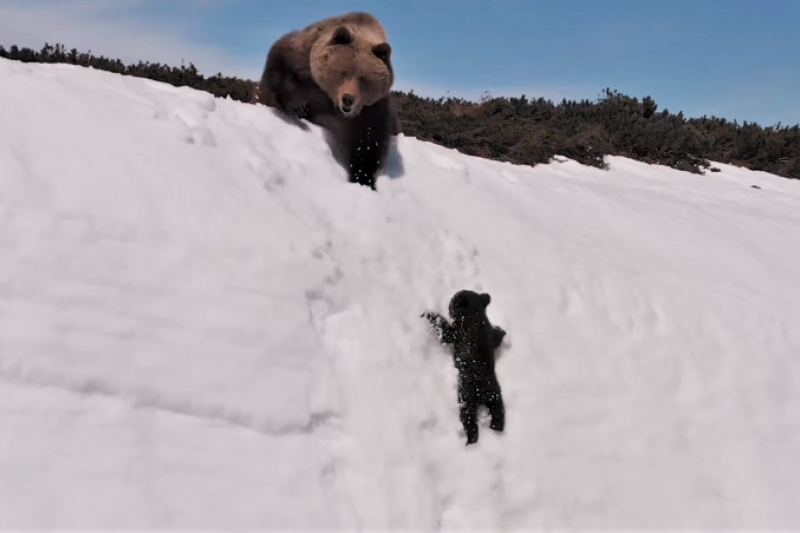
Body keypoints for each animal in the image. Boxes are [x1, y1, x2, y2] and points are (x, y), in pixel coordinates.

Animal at [256, 10, 400, 191]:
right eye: (343, 72)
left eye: (363, 78)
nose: (348, 99)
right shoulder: (304, 58)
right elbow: (281, 65)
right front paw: (298, 107)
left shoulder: (370, 109)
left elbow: (368, 141)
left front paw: (363, 178)